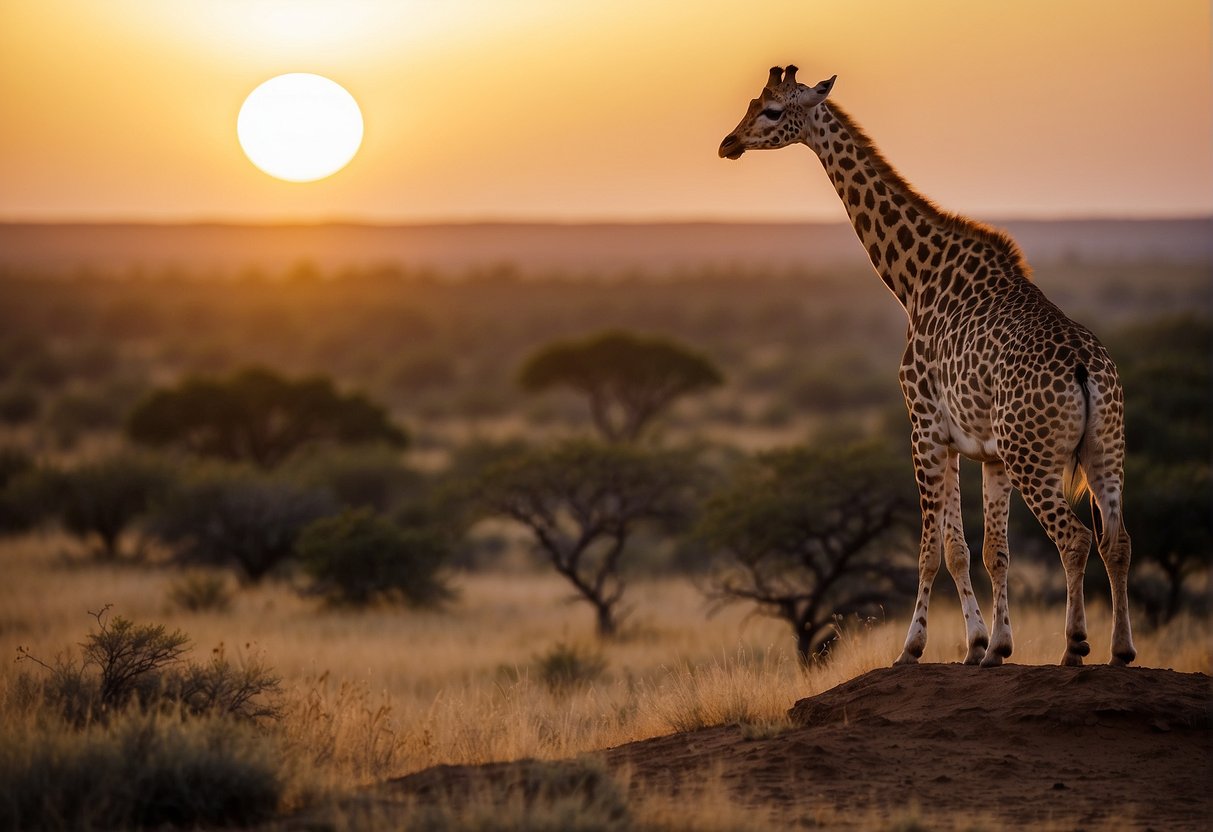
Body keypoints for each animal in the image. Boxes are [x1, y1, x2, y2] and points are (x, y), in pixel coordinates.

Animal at [713, 68, 1130, 674]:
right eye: (752, 103)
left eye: (770, 110)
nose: (729, 144)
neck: (915, 279)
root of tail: (1083, 369)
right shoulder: (982, 448)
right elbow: (988, 552)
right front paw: (992, 647)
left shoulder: (925, 425)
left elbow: (937, 551)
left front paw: (918, 647)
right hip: (1104, 451)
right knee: (1116, 540)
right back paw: (1121, 650)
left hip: (1035, 456)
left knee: (1073, 539)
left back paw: (1075, 648)